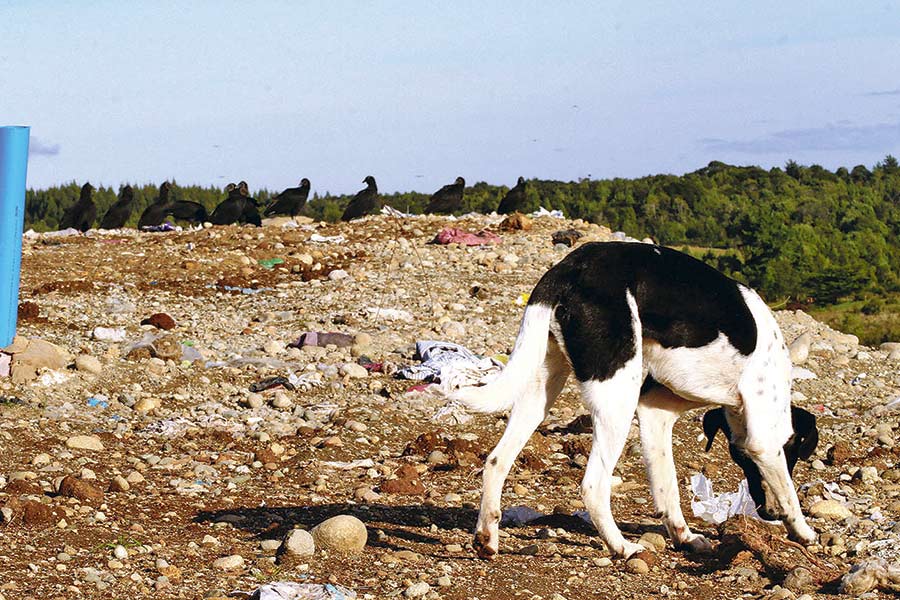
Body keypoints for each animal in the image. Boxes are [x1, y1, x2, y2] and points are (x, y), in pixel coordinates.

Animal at [446, 241, 820, 560]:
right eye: (740, 457)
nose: (767, 513)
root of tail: (568, 269)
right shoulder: (764, 442)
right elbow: (788, 492)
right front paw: (802, 531)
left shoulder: (657, 411)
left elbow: (667, 485)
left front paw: (683, 536)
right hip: (616, 399)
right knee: (593, 486)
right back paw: (622, 547)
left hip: (541, 388)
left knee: (496, 460)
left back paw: (486, 538)